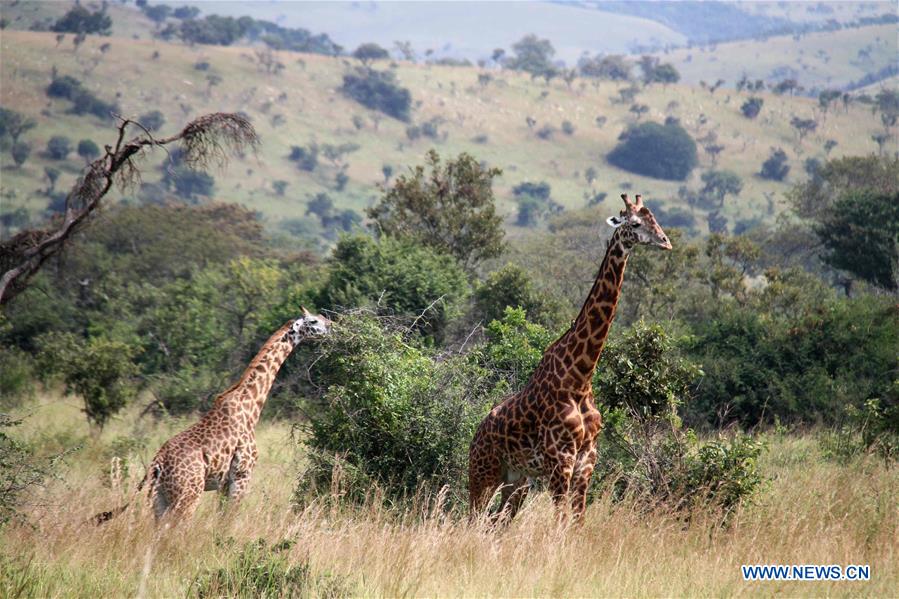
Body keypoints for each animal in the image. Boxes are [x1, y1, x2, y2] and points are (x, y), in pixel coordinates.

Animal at [94, 310, 330, 524]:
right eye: (313, 321)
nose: (332, 326)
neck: (251, 405)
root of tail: (156, 464)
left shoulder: (223, 483)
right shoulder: (242, 476)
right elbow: (227, 523)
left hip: (159, 499)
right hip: (188, 497)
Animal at [472, 195, 668, 524]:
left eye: (656, 220)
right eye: (636, 223)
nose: (666, 242)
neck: (581, 376)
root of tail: (476, 433)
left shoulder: (586, 461)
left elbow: (576, 521)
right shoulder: (560, 460)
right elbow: (561, 520)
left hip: (517, 480)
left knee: (497, 522)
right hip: (483, 473)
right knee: (471, 519)